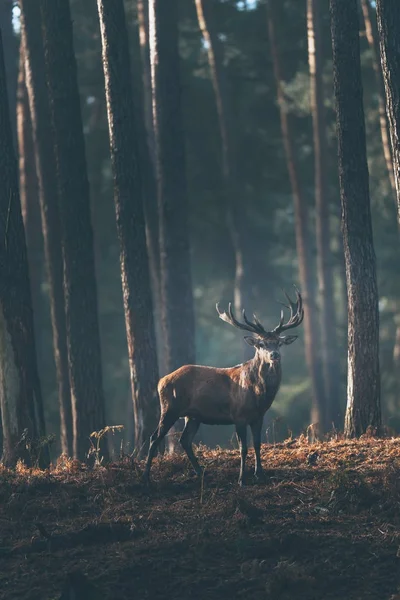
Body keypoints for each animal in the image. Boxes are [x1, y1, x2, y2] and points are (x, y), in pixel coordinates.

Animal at [144, 286, 304, 488]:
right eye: (261, 344)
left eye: (279, 342)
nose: (274, 355)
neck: (258, 394)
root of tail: (161, 381)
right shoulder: (238, 415)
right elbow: (243, 448)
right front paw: (242, 479)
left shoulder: (258, 416)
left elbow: (257, 444)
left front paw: (260, 475)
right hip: (169, 408)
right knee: (154, 437)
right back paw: (146, 478)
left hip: (193, 415)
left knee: (184, 439)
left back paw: (201, 473)